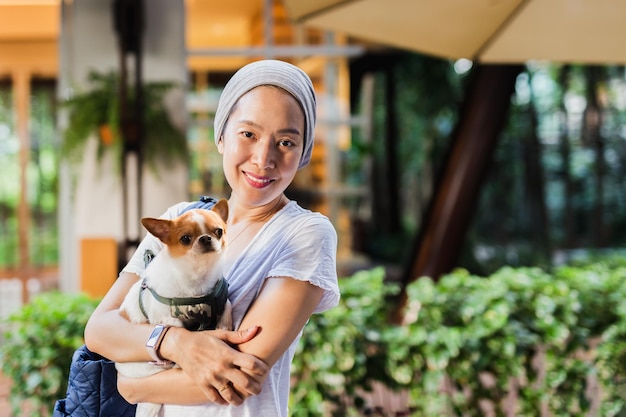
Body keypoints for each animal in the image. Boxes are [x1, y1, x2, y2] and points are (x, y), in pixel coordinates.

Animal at [116, 197, 230, 416]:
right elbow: (177, 327)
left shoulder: (221, 296)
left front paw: (225, 325)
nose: (205, 239)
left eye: (219, 231)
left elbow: (228, 306)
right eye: (185, 238)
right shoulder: (167, 318)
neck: (196, 276)